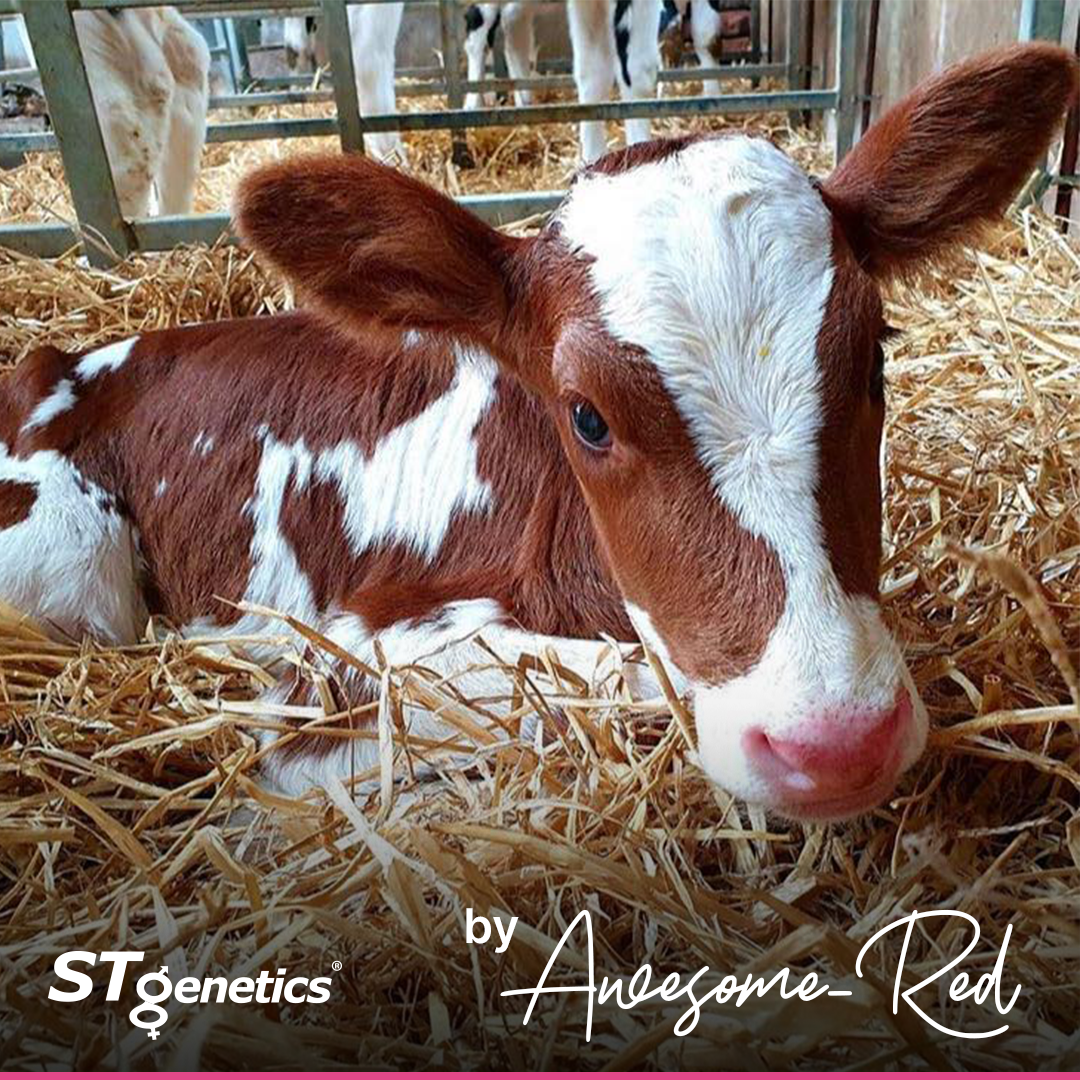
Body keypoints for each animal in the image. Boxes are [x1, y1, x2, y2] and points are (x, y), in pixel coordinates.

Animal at [1, 46, 1075, 821]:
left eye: (876, 363)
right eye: (586, 416)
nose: (837, 743)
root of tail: (59, 357)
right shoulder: (355, 641)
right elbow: (595, 679)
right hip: (70, 578)